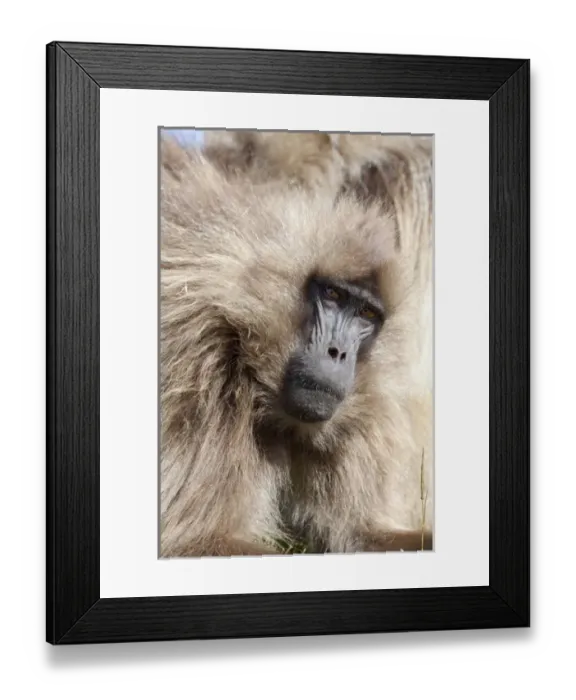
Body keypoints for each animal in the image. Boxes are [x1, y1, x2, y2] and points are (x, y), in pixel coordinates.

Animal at [159, 131, 433, 557]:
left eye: (366, 314)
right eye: (333, 295)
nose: (337, 353)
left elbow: (358, 535)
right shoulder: (202, 364)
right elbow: (195, 542)